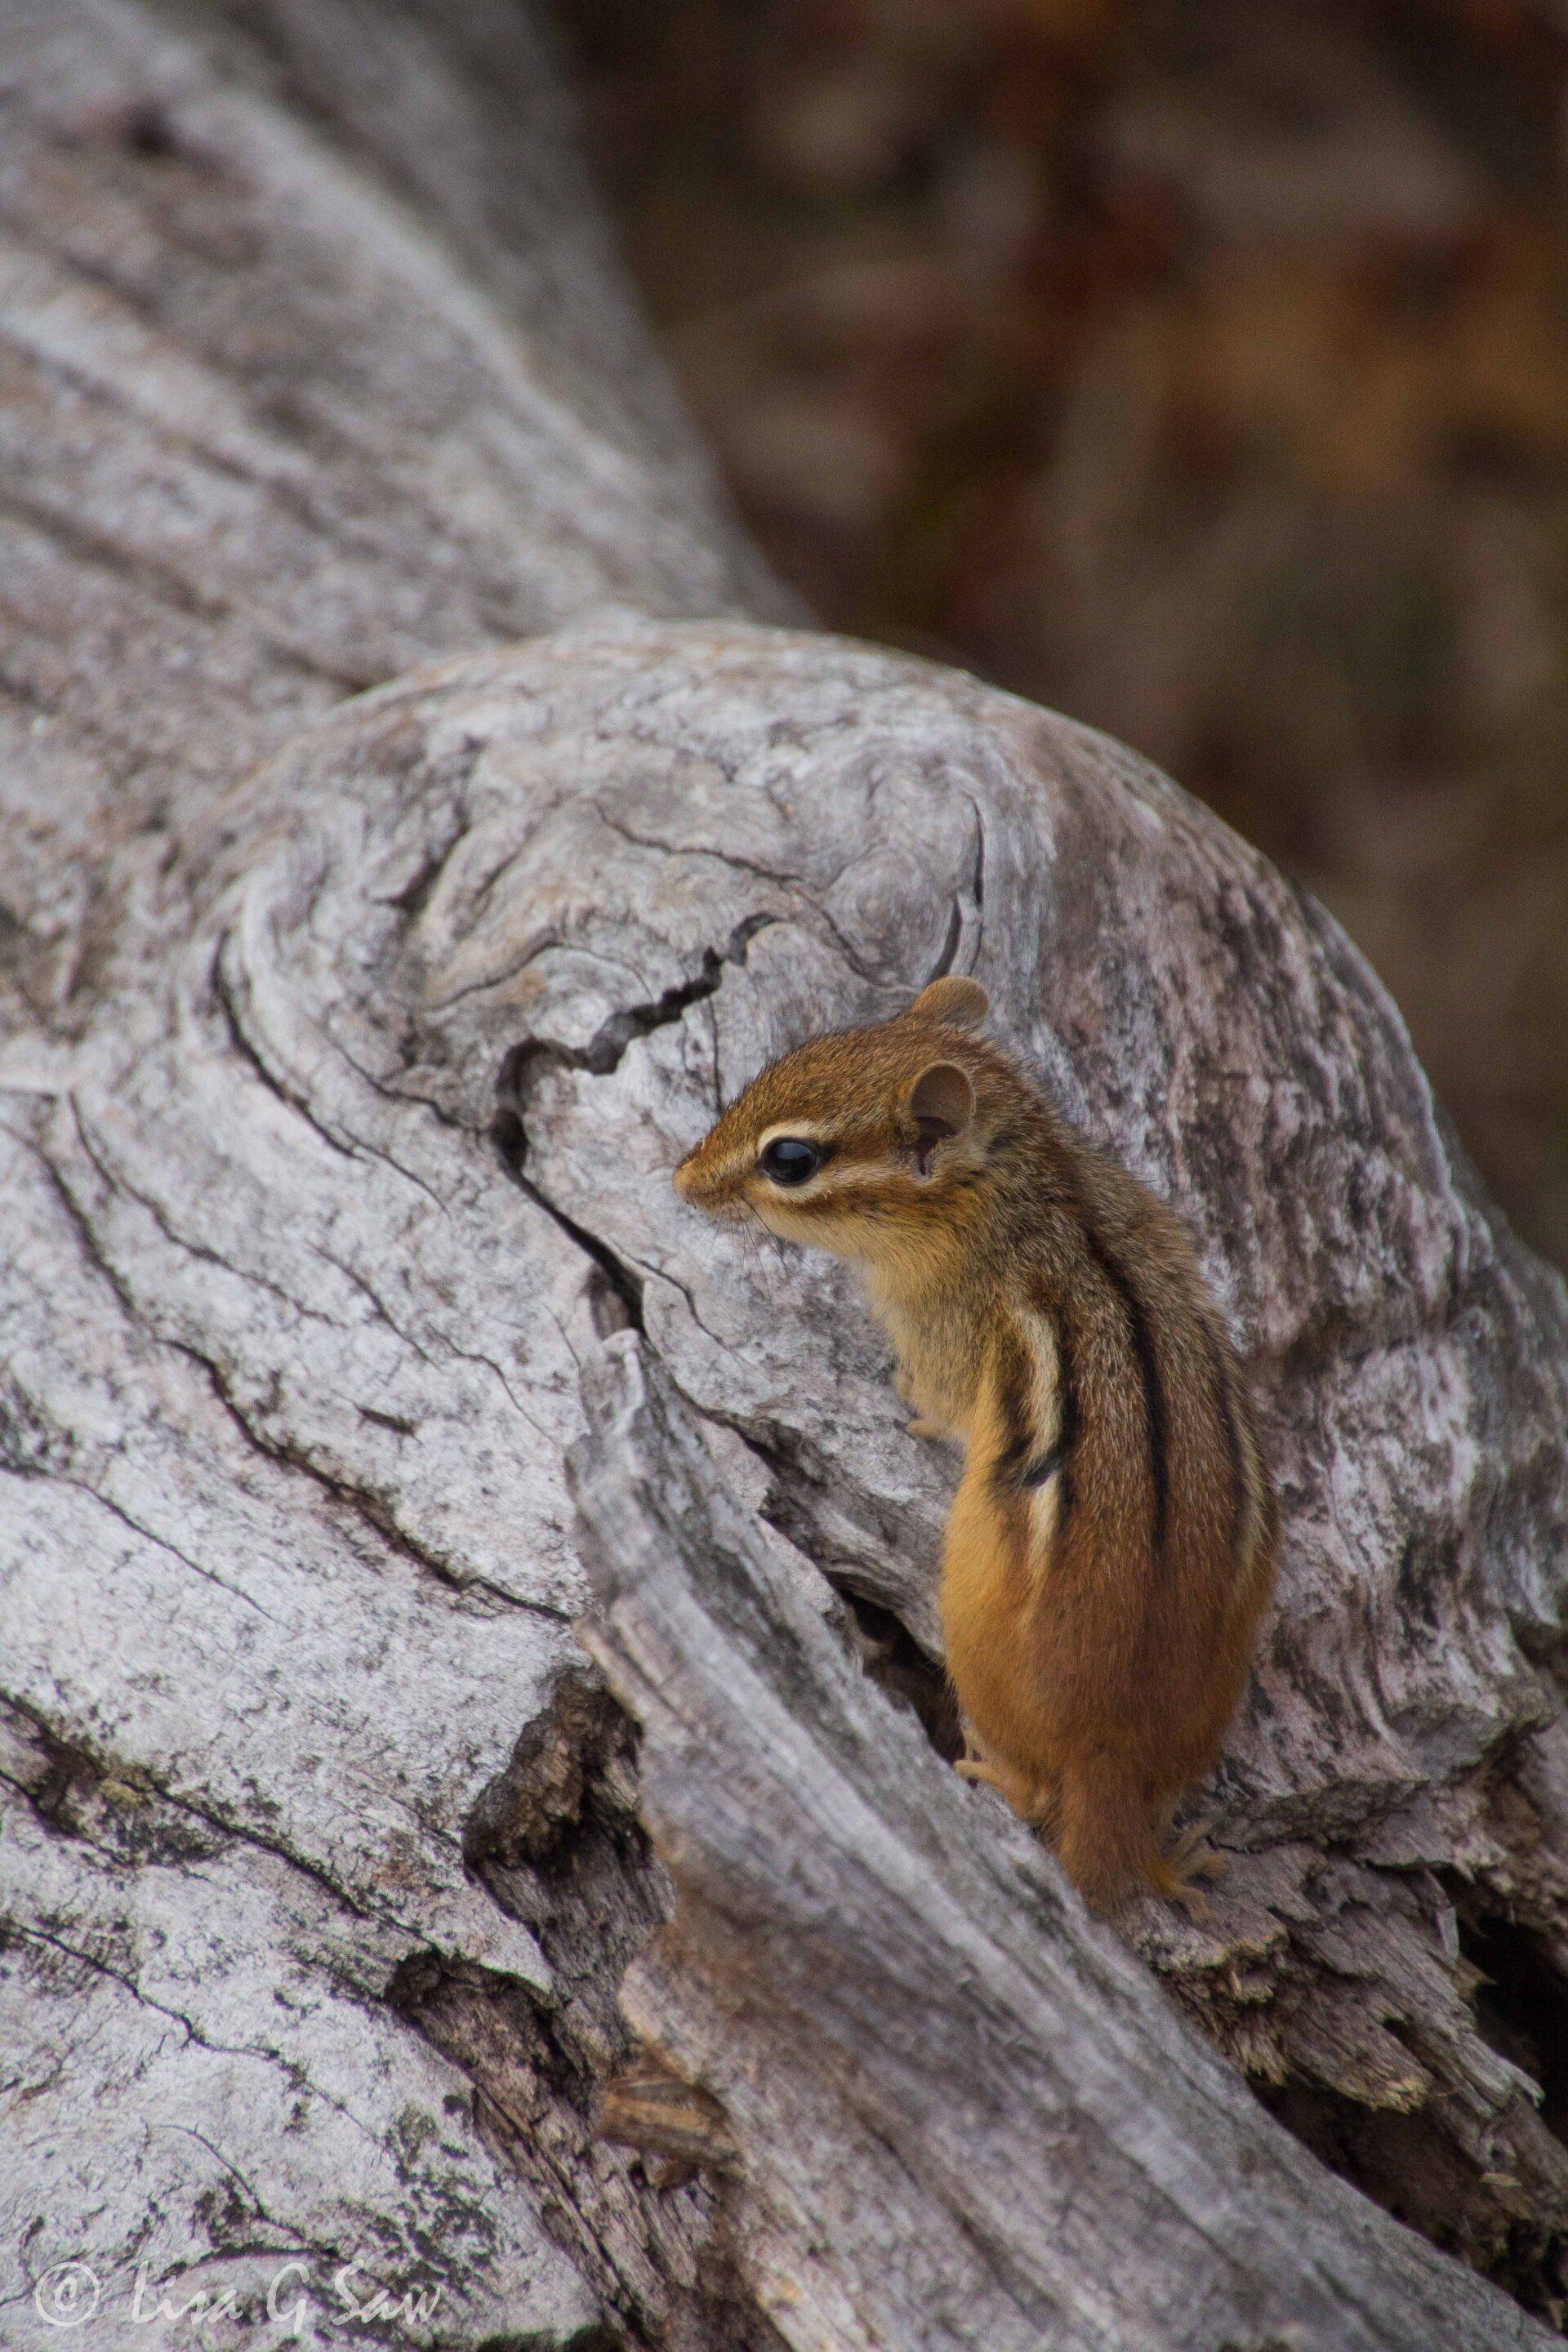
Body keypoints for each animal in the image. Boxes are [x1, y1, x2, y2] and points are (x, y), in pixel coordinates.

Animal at [672, 973, 1277, 1913]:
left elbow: (937, 1404)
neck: (1025, 1184)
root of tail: (1111, 1746)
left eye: (789, 1161)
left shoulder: (938, 1327)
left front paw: (906, 1406)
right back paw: (1180, 1860)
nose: (680, 1177)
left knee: (1035, 1795)